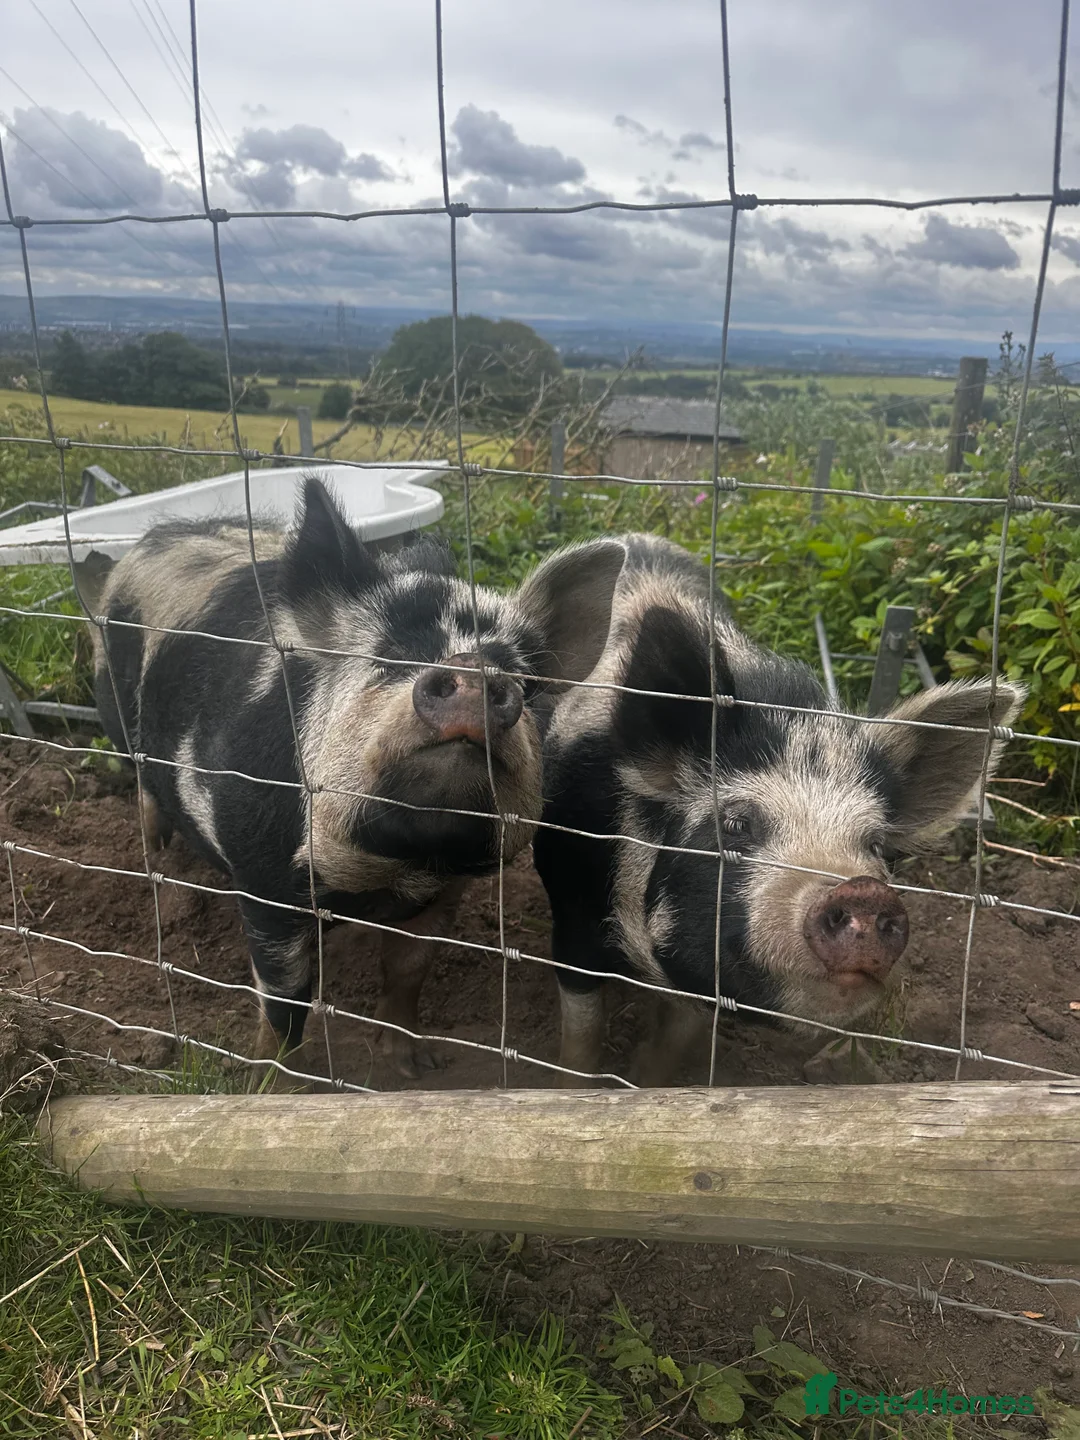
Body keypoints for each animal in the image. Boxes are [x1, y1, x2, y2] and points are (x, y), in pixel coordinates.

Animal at [91, 476, 625, 1076]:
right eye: (389, 657)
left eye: (523, 680)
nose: (471, 669)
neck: (392, 870)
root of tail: (157, 536)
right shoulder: (264, 880)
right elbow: (285, 1000)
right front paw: (276, 1080)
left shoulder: (443, 894)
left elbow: (409, 972)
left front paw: (412, 1066)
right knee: (146, 799)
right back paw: (159, 869)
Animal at [532, 532, 1025, 1086]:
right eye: (736, 823)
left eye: (876, 845)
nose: (863, 890)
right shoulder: (571, 908)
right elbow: (582, 1029)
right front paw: (568, 1085)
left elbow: (676, 1039)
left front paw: (651, 1080)